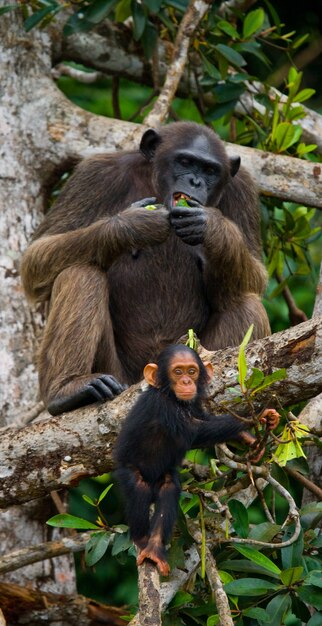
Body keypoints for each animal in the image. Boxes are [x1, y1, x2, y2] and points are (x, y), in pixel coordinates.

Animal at [21, 120, 270, 414]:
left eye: (210, 170)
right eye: (185, 161)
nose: (195, 181)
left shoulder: (243, 189)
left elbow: (256, 275)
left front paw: (213, 227)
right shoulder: (94, 174)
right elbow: (37, 255)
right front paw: (134, 225)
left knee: (247, 304)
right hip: (121, 376)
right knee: (79, 273)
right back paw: (67, 389)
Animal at [114, 344, 280, 572]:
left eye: (191, 371)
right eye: (177, 371)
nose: (186, 381)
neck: (172, 397)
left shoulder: (195, 405)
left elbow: (205, 420)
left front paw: (251, 437)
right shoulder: (163, 407)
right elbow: (197, 430)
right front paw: (258, 416)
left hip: (164, 476)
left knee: (169, 489)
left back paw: (154, 547)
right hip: (127, 469)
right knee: (139, 487)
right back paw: (141, 540)